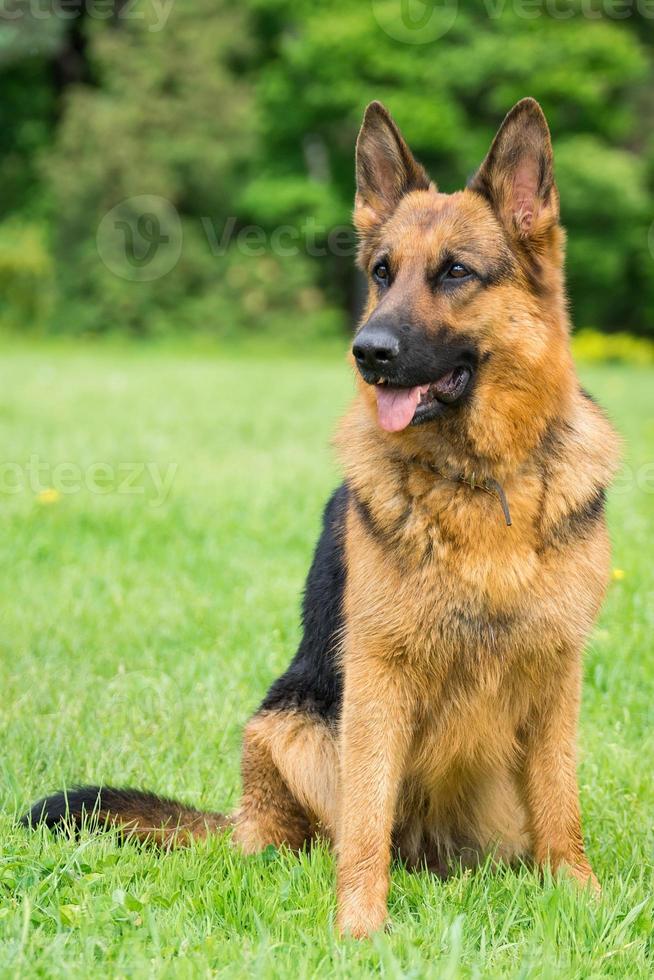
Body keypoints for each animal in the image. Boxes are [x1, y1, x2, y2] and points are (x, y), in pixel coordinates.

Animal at [24, 97, 620, 936]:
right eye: (381, 273)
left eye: (456, 272)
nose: (368, 351)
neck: (480, 479)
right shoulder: (377, 677)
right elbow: (365, 819)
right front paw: (361, 927)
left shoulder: (557, 673)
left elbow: (561, 805)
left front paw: (580, 897)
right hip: (290, 725)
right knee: (310, 834)